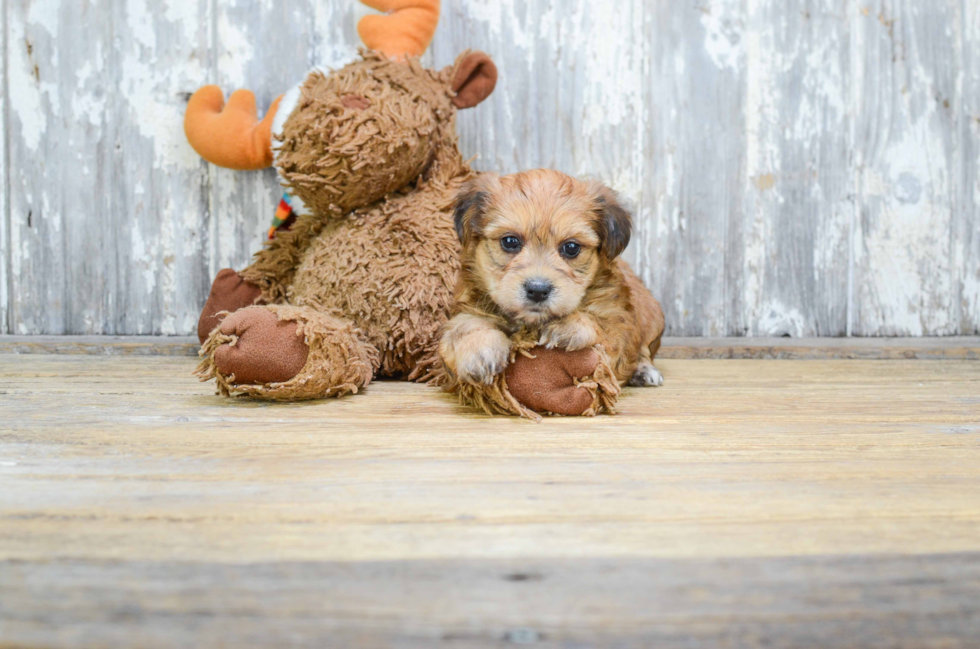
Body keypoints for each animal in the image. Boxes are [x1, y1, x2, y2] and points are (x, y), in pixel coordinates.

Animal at [442, 170, 668, 392]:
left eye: (571, 247)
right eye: (510, 241)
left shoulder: (618, 321)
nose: (537, 290)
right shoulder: (467, 306)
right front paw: (479, 351)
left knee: (645, 350)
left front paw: (568, 325)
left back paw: (644, 370)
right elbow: (465, 325)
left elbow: (601, 326)